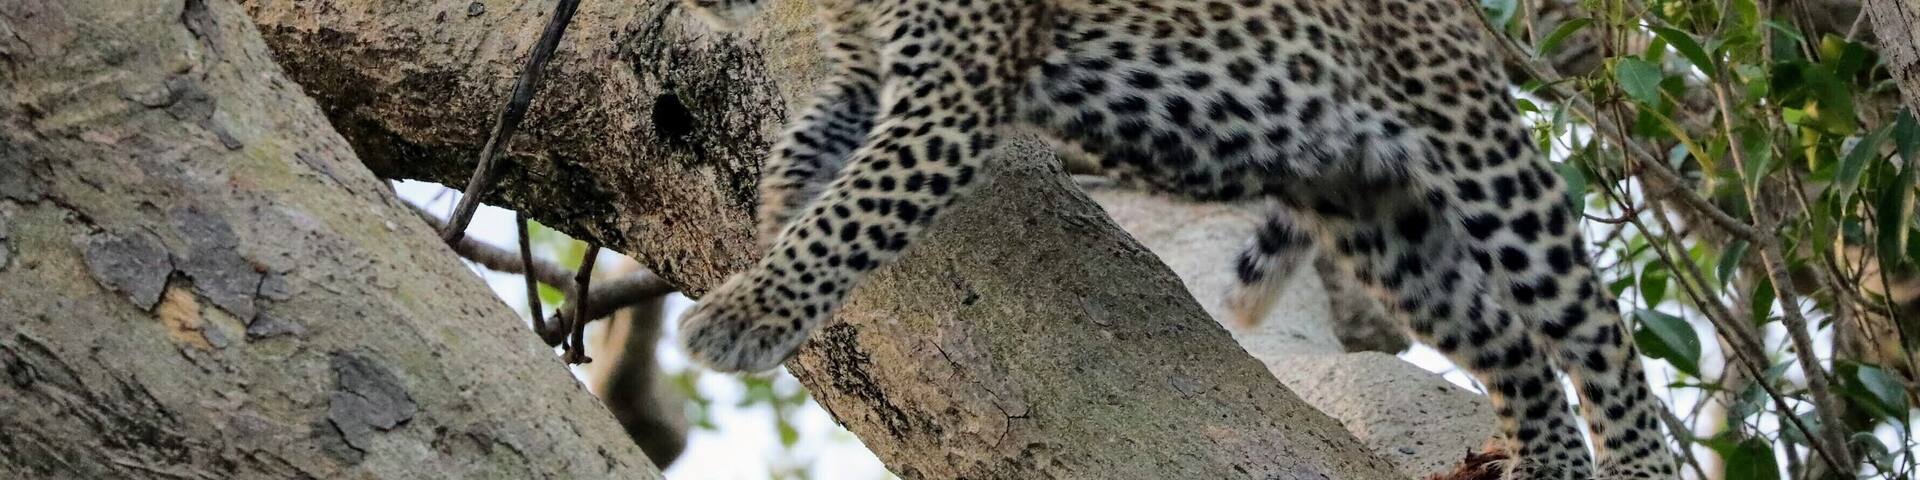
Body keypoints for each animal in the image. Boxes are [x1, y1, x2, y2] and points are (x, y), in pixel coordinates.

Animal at [674, 0, 1678, 478]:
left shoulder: (947, 102)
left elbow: (858, 206)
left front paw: (743, 314)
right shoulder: (862, 80)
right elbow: (800, 162)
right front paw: (771, 247)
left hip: (1476, 154)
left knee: (1592, 322)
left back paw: (1633, 464)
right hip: (1378, 215)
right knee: (1508, 340)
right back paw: (1550, 464)